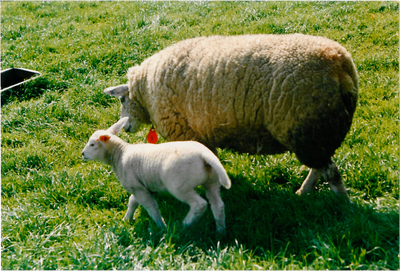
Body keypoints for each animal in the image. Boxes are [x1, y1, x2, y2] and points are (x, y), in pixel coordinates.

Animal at [81, 118, 231, 235]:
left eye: (92, 144)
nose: (82, 154)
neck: (120, 153)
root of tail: (204, 154)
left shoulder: (136, 187)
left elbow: (151, 207)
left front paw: (161, 226)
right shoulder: (141, 186)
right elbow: (132, 202)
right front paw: (127, 219)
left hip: (179, 185)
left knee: (200, 204)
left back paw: (184, 225)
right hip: (212, 180)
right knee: (218, 205)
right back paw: (220, 231)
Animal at [104, 34, 358, 200]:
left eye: (122, 100)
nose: (125, 128)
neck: (146, 91)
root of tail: (339, 63)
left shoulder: (187, 132)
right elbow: (212, 160)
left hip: (307, 129)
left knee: (331, 172)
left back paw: (343, 207)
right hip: (317, 133)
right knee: (321, 168)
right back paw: (304, 192)